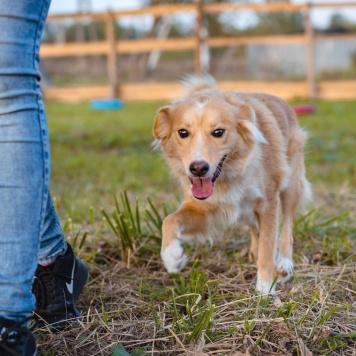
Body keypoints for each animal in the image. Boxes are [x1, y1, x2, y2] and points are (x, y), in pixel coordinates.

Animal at [153, 76, 312, 294]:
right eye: (183, 132)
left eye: (218, 132)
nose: (198, 168)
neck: (229, 175)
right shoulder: (203, 209)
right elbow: (169, 219)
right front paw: (171, 256)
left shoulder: (268, 203)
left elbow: (268, 246)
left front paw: (265, 288)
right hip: (245, 209)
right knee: (256, 229)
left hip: (290, 185)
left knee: (287, 227)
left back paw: (284, 264)